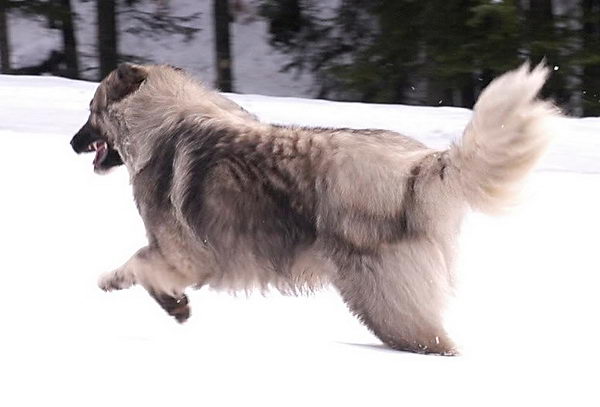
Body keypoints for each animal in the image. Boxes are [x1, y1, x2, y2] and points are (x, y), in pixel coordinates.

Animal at [69, 62, 556, 356]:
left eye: (92, 110)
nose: (73, 143)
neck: (158, 121)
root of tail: (417, 168)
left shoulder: (184, 255)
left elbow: (138, 264)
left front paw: (129, 287)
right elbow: (148, 271)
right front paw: (175, 304)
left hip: (379, 299)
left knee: (432, 342)